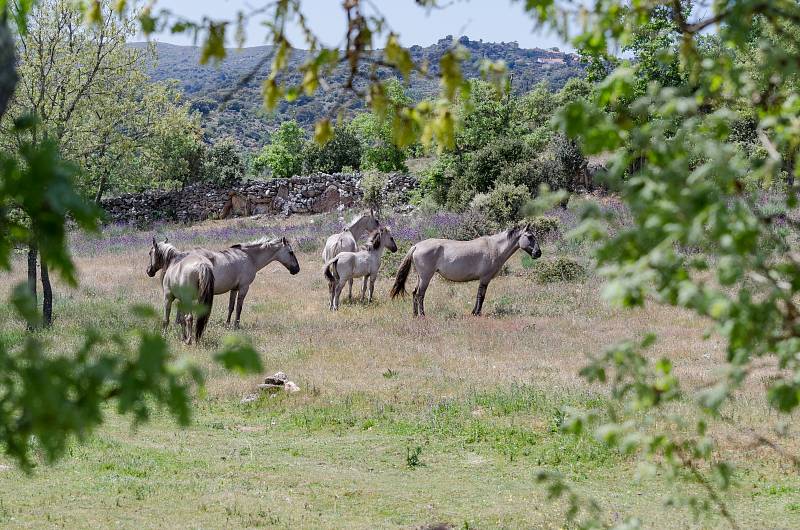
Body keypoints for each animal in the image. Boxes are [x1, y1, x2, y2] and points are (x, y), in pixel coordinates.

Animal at [147, 235, 300, 342]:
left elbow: (231, 307)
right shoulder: (244, 288)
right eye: (291, 252)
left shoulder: (234, 289)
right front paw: (236, 326)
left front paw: (227, 324)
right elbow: (238, 308)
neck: (249, 257)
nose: (297, 269)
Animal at [390, 222, 544, 316]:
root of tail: (417, 246)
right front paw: (477, 313)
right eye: (529, 236)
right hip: (426, 277)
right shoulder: (485, 278)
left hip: (420, 277)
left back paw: (415, 315)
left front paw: (474, 312)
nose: (538, 253)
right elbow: (481, 296)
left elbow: (479, 295)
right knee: (420, 294)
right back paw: (422, 315)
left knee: (414, 293)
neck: (494, 247)